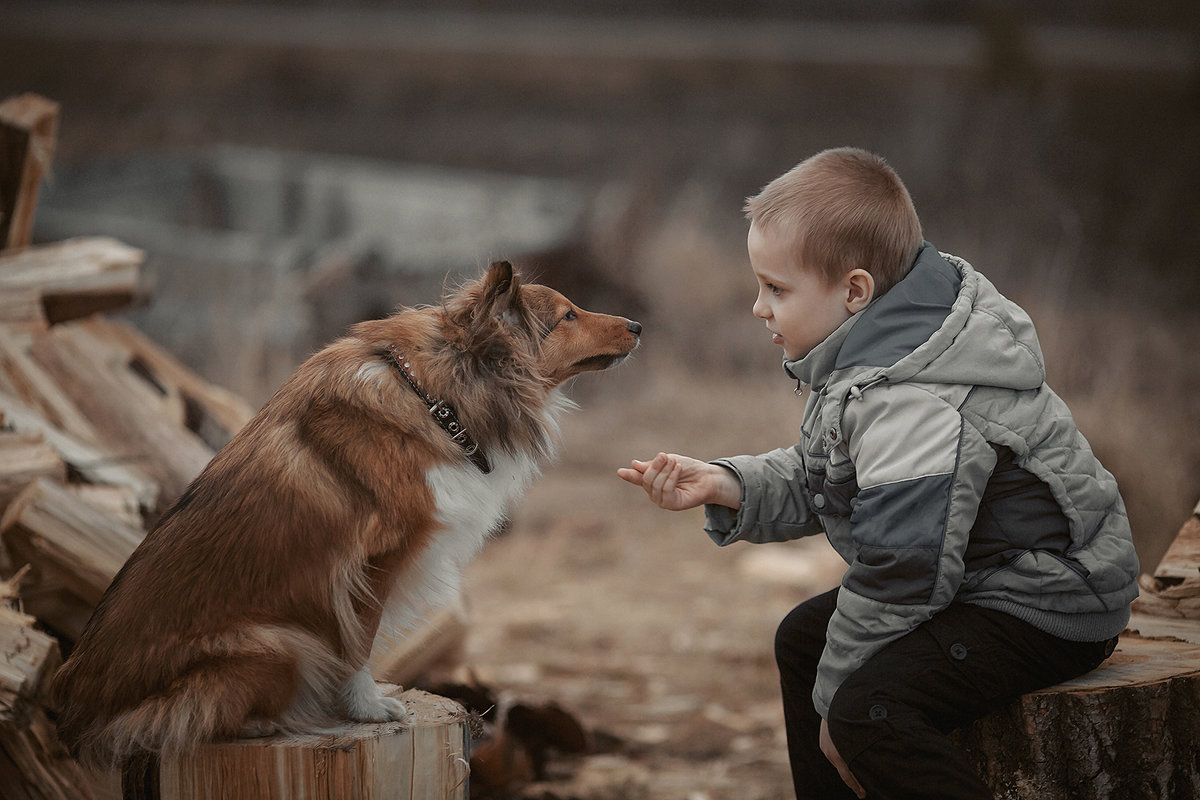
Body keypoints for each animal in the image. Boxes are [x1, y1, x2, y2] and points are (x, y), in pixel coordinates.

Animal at [51, 260, 643, 767]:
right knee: (180, 720)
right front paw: (367, 708)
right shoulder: (369, 562)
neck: (436, 395)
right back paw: (262, 722)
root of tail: (71, 710)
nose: (637, 326)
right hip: (280, 643)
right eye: (567, 316)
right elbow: (361, 642)